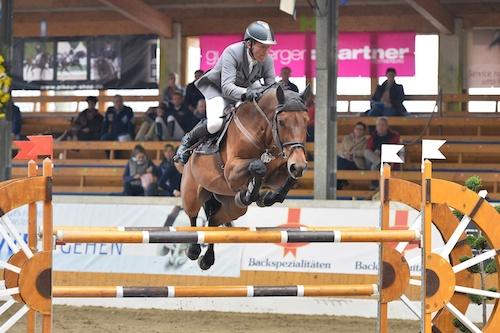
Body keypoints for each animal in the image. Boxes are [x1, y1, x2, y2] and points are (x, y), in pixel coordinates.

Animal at [178, 83, 310, 270]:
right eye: (282, 122)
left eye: (306, 121)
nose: (298, 165)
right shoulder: (231, 171)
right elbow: (258, 166)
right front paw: (251, 193)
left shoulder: (279, 172)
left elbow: (287, 178)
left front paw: (267, 197)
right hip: (192, 193)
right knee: (193, 216)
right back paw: (194, 251)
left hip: (233, 208)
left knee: (214, 220)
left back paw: (207, 259)